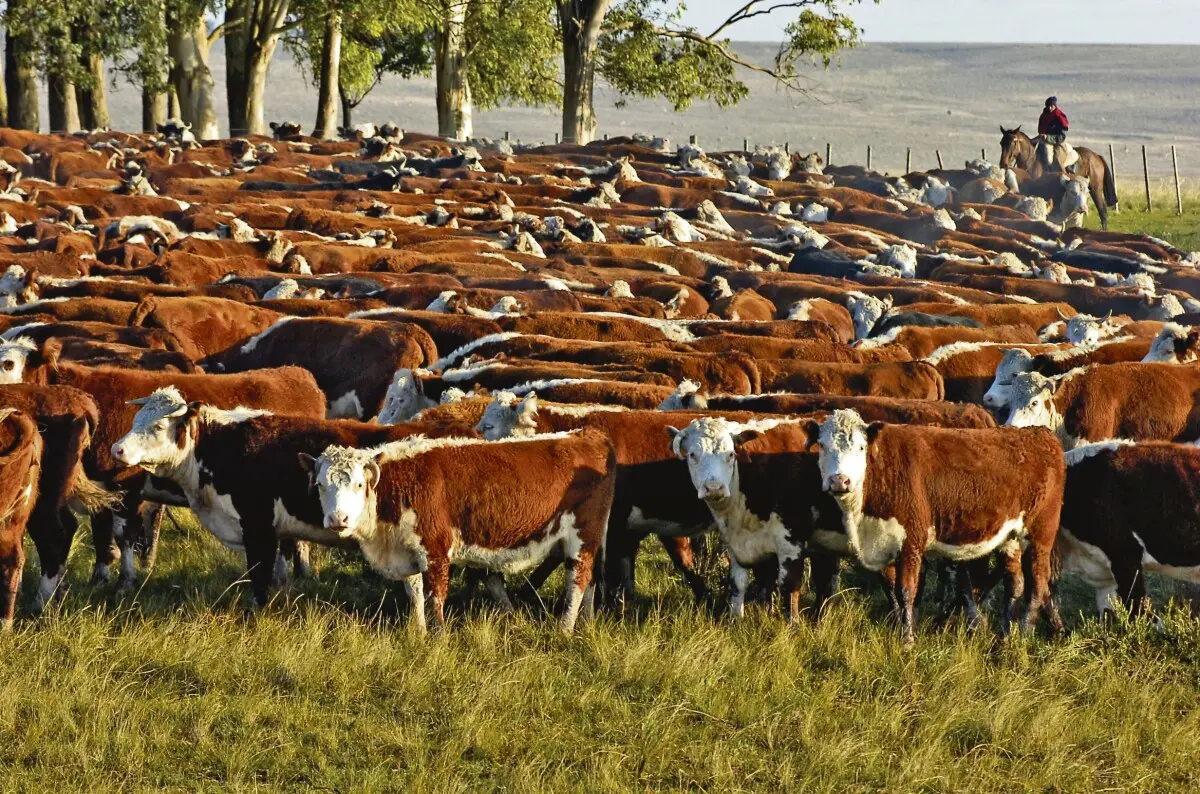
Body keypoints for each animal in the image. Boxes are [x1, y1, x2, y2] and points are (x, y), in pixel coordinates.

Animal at [305, 430, 617, 633]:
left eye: (359, 484)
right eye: (319, 485)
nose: (338, 518)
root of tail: (588, 434)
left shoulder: (436, 550)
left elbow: (435, 599)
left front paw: (438, 640)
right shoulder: (410, 550)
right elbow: (415, 593)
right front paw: (418, 634)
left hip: (583, 535)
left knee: (578, 579)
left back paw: (565, 629)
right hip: (591, 540)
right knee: (589, 580)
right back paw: (586, 623)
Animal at [812, 409, 1065, 644]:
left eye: (861, 447)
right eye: (822, 446)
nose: (839, 480)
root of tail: (1041, 434)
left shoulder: (912, 540)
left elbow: (906, 590)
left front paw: (907, 641)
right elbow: (894, 588)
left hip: (1040, 533)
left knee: (1037, 582)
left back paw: (1024, 634)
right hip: (1010, 537)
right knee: (1015, 582)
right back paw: (1004, 637)